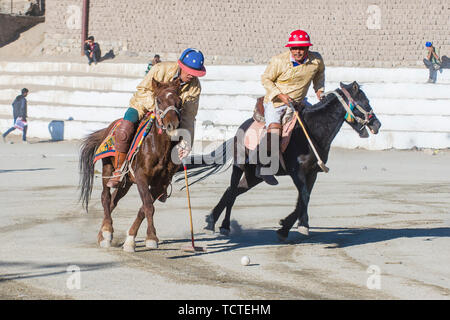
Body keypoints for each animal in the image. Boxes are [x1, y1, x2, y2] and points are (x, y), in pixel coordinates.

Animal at [79, 78, 183, 252]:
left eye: (179, 101)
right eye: (159, 100)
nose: (172, 124)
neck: (157, 147)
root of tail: (108, 128)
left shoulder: (160, 183)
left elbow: (145, 207)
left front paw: (132, 240)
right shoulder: (141, 176)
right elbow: (148, 206)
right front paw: (151, 238)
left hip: (126, 182)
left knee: (113, 200)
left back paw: (102, 235)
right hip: (108, 168)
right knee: (105, 197)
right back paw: (107, 232)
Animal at [179, 81, 380, 241]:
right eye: (366, 102)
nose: (377, 124)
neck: (312, 131)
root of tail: (240, 129)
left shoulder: (312, 173)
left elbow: (304, 198)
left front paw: (290, 227)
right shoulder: (296, 171)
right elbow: (304, 196)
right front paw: (291, 225)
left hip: (253, 177)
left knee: (232, 191)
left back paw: (212, 221)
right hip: (239, 166)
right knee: (232, 192)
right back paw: (223, 225)